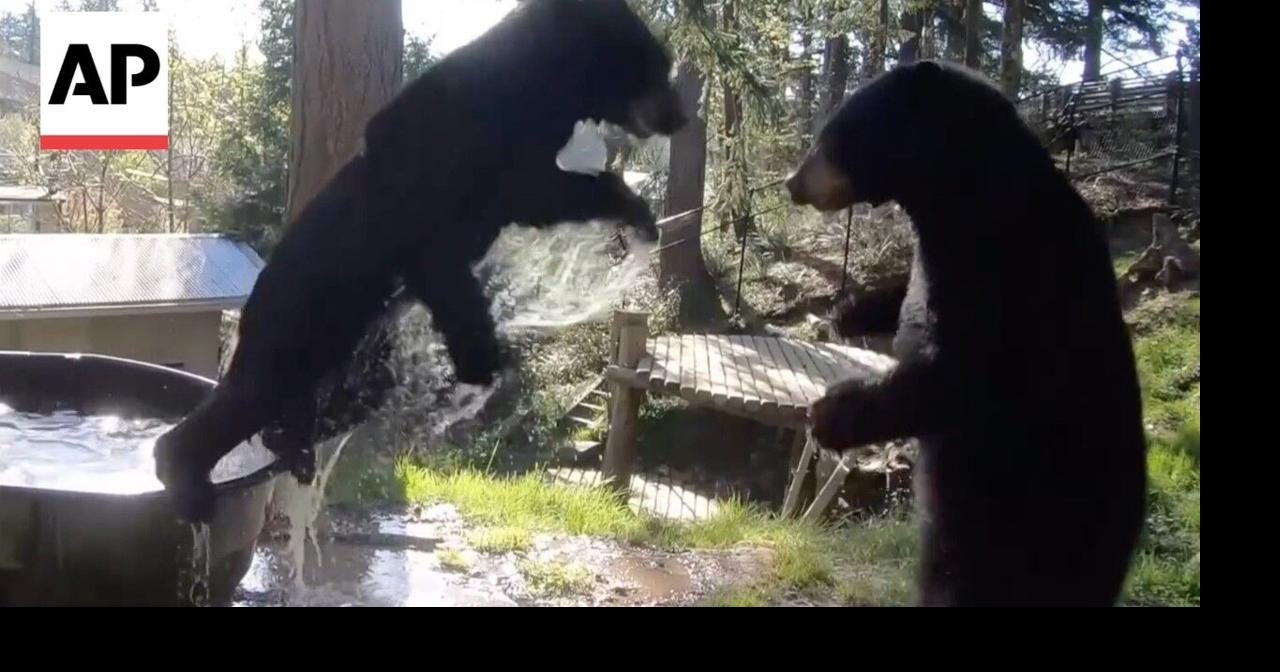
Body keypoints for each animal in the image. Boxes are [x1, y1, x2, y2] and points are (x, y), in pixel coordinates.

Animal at [155, 0, 686, 519]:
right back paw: (186, 475)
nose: (682, 115)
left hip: (349, 343)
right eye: (657, 67)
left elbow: (536, 195)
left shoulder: (514, 166)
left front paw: (636, 210)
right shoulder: (447, 144)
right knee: (252, 393)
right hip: (303, 317)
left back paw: (296, 444)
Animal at [786, 60, 1147, 607]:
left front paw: (830, 413)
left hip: (1026, 526)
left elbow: (960, 375)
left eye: (832, 134)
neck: (960, 196)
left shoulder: (1008, 272)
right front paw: (849, 310)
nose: (792, 183)